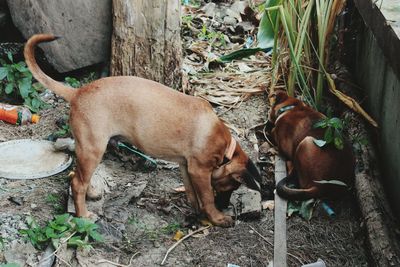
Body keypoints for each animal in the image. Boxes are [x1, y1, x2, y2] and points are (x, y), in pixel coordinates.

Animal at [25, 34, 262, 228]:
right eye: (232, 186)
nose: (226, 206)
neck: (224, 147)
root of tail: (77, 93)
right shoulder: (200, 170)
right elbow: (207, 197)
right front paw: (217, 217)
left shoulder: (187, 166)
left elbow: (192, 192)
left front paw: (197, 211)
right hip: (93, 148)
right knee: (77, 183)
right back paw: (83, 215)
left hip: (90, 149)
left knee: (79, 175)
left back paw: (91, 193)